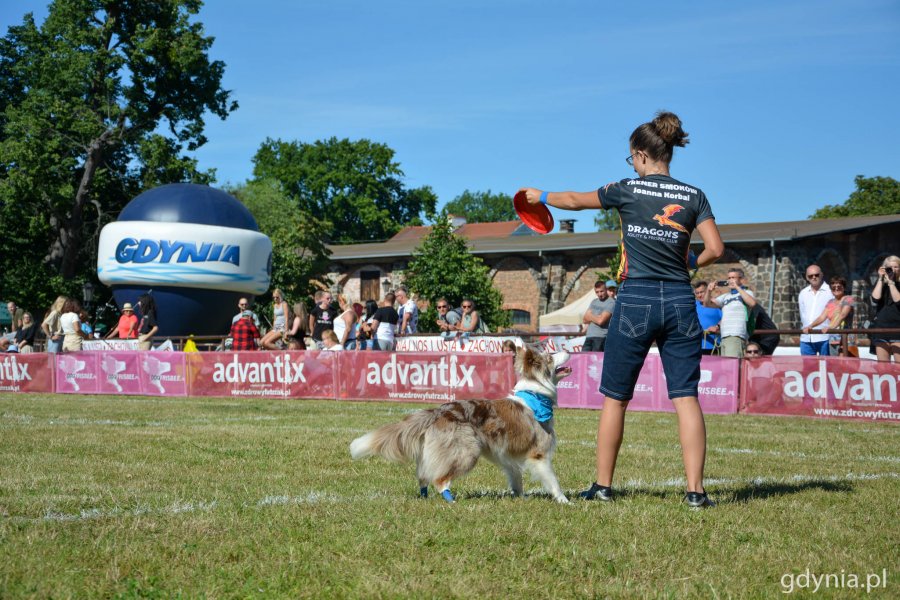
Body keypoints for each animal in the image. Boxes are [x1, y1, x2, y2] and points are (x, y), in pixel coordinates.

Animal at [352, 346, 568, 502]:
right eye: (550, 357)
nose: (567, 350)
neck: (536, 395)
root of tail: (439, 410)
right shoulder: (539, 454)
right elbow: (553, 480)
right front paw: (564, 501)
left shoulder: (508, 455)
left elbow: (517, 480)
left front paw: (521, 499)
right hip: (466, 452)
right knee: (439, 479)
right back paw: (450, 500)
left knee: (424, 476)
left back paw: (425, 497)